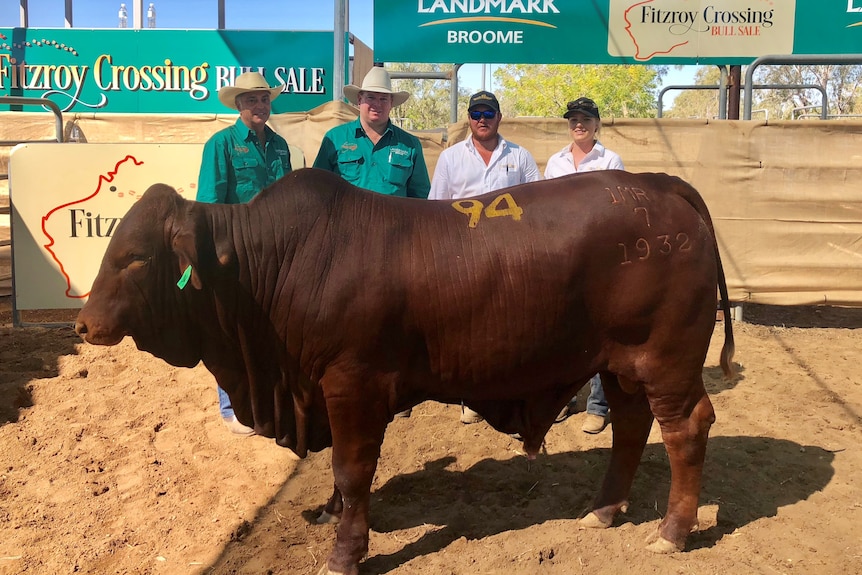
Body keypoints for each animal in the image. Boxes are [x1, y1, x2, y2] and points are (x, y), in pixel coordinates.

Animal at [76, 168, 736, 575]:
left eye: (136, 257)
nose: (84, 325)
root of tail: (658, 184)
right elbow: (341, 476)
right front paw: (330, 513)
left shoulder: (353, 385)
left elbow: (352, 469)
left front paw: (344, 554)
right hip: (621, 366)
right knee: (631, 427)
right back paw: (603, 510)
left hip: (668, 362)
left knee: (686, 430)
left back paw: (673, 532)